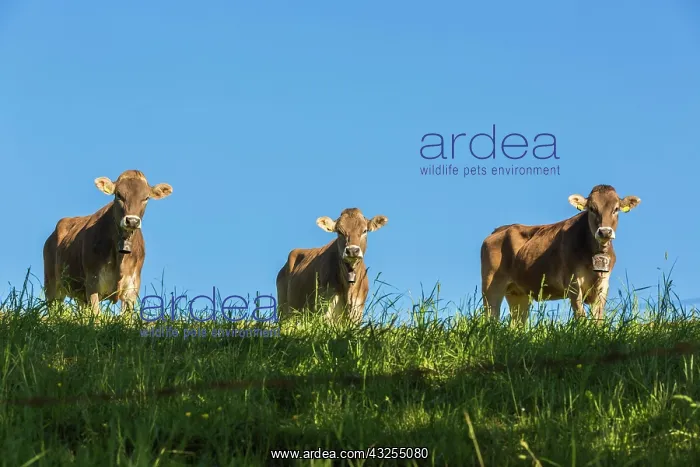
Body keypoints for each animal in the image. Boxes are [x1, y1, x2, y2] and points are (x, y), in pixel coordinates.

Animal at [43, 170, 173, 315]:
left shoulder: (132, 288)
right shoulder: (92, 283)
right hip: (52, 284)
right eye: (119, 195)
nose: (132, 221)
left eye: (146, 198)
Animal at [480, 184, 641, 325]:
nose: (605, 232)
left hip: (518, 293)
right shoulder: (573, 283)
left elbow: (599, 319)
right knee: (491, 316)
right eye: (592, 208)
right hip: (491, 284)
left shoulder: (603, 285)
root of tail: (498, 230)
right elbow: (580, 316)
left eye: (616, 209)